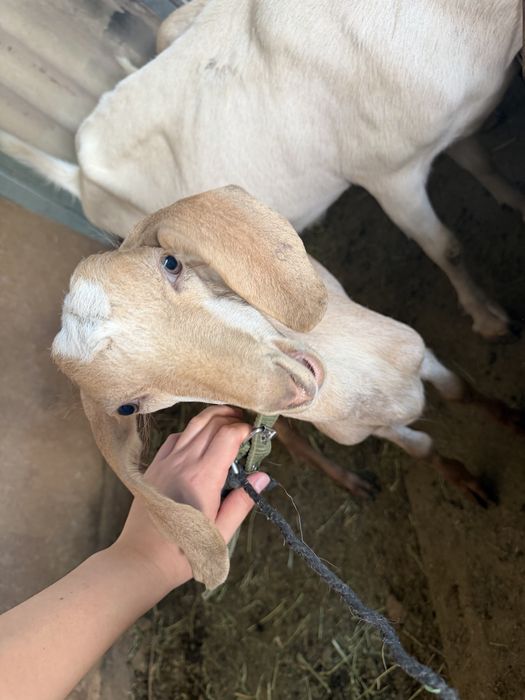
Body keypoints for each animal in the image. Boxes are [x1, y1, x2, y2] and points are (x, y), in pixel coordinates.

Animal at [1, 0, 523, 338]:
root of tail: (79, 176)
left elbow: (485, 164)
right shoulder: (390, 172)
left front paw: (513, 200)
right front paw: (489, 319)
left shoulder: (458, 128)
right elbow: (445, 247)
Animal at [52, 186, 498, 590]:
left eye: (171, 263)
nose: (294, 388)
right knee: (296, 444)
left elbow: (460, 391)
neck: (364, 387)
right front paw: (470, 484)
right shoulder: (369, 428)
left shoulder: (422, 353)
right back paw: (354, 483)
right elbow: (424, 448)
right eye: (129, 407)